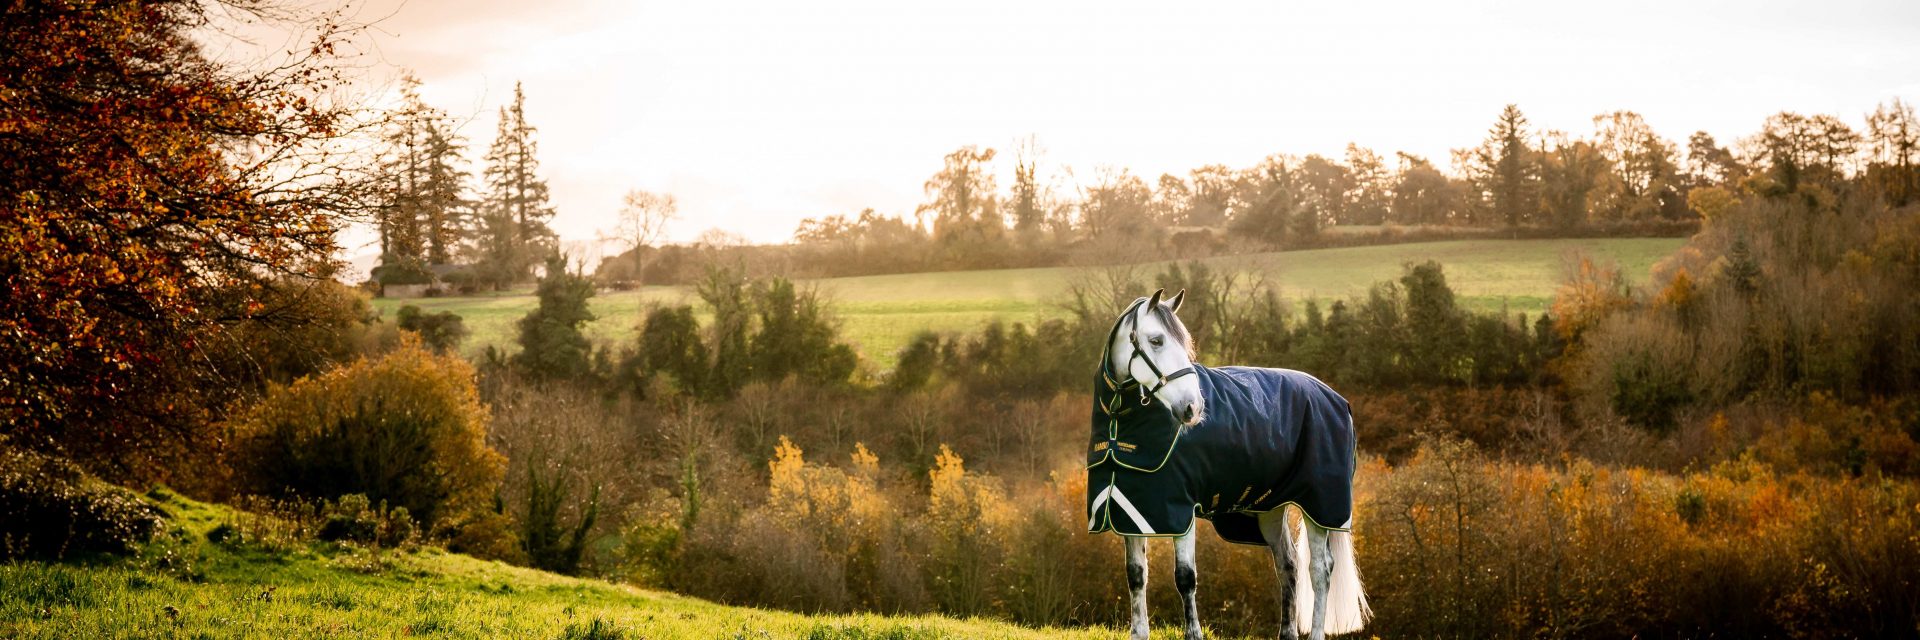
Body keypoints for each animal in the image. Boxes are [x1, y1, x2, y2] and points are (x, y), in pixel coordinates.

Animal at [1090, 288, 1374, 638]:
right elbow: (1136, 574)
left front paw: (1193, 634)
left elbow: (1185, 577)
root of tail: (1335, 398)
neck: (1122, 422)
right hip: (1271, 509)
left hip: (1320, 506)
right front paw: (1139, 632)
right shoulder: (1133, 511)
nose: (1193, 408)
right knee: (1289, 565)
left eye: (1184, 343)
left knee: (1320, 569)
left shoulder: (1180, 511)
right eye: (1156, 340)